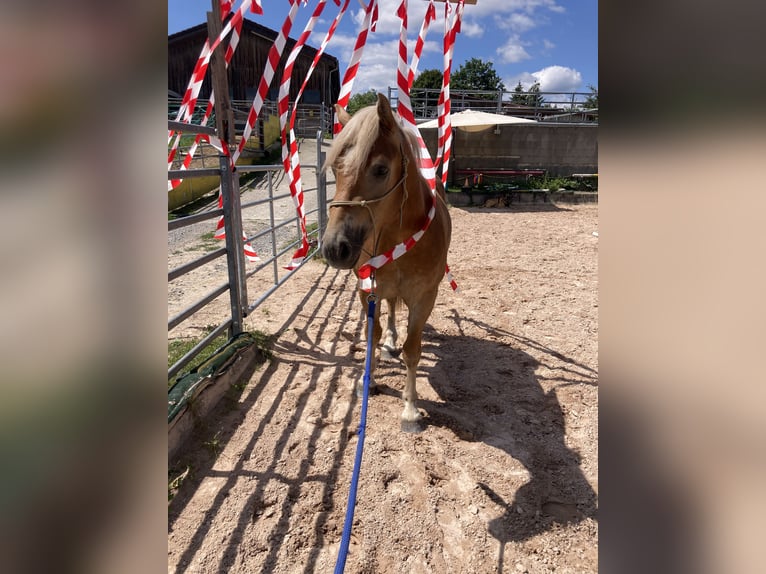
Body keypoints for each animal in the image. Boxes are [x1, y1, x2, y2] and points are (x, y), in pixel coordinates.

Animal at [322, 94, 452, 434]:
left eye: (380, 169)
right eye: (335, 170)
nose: (334, 248)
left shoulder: (425, 299)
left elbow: (413, 350)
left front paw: (411, 410)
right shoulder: (367, 289)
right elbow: (374, 335)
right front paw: (367, 381)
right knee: (391, 311)